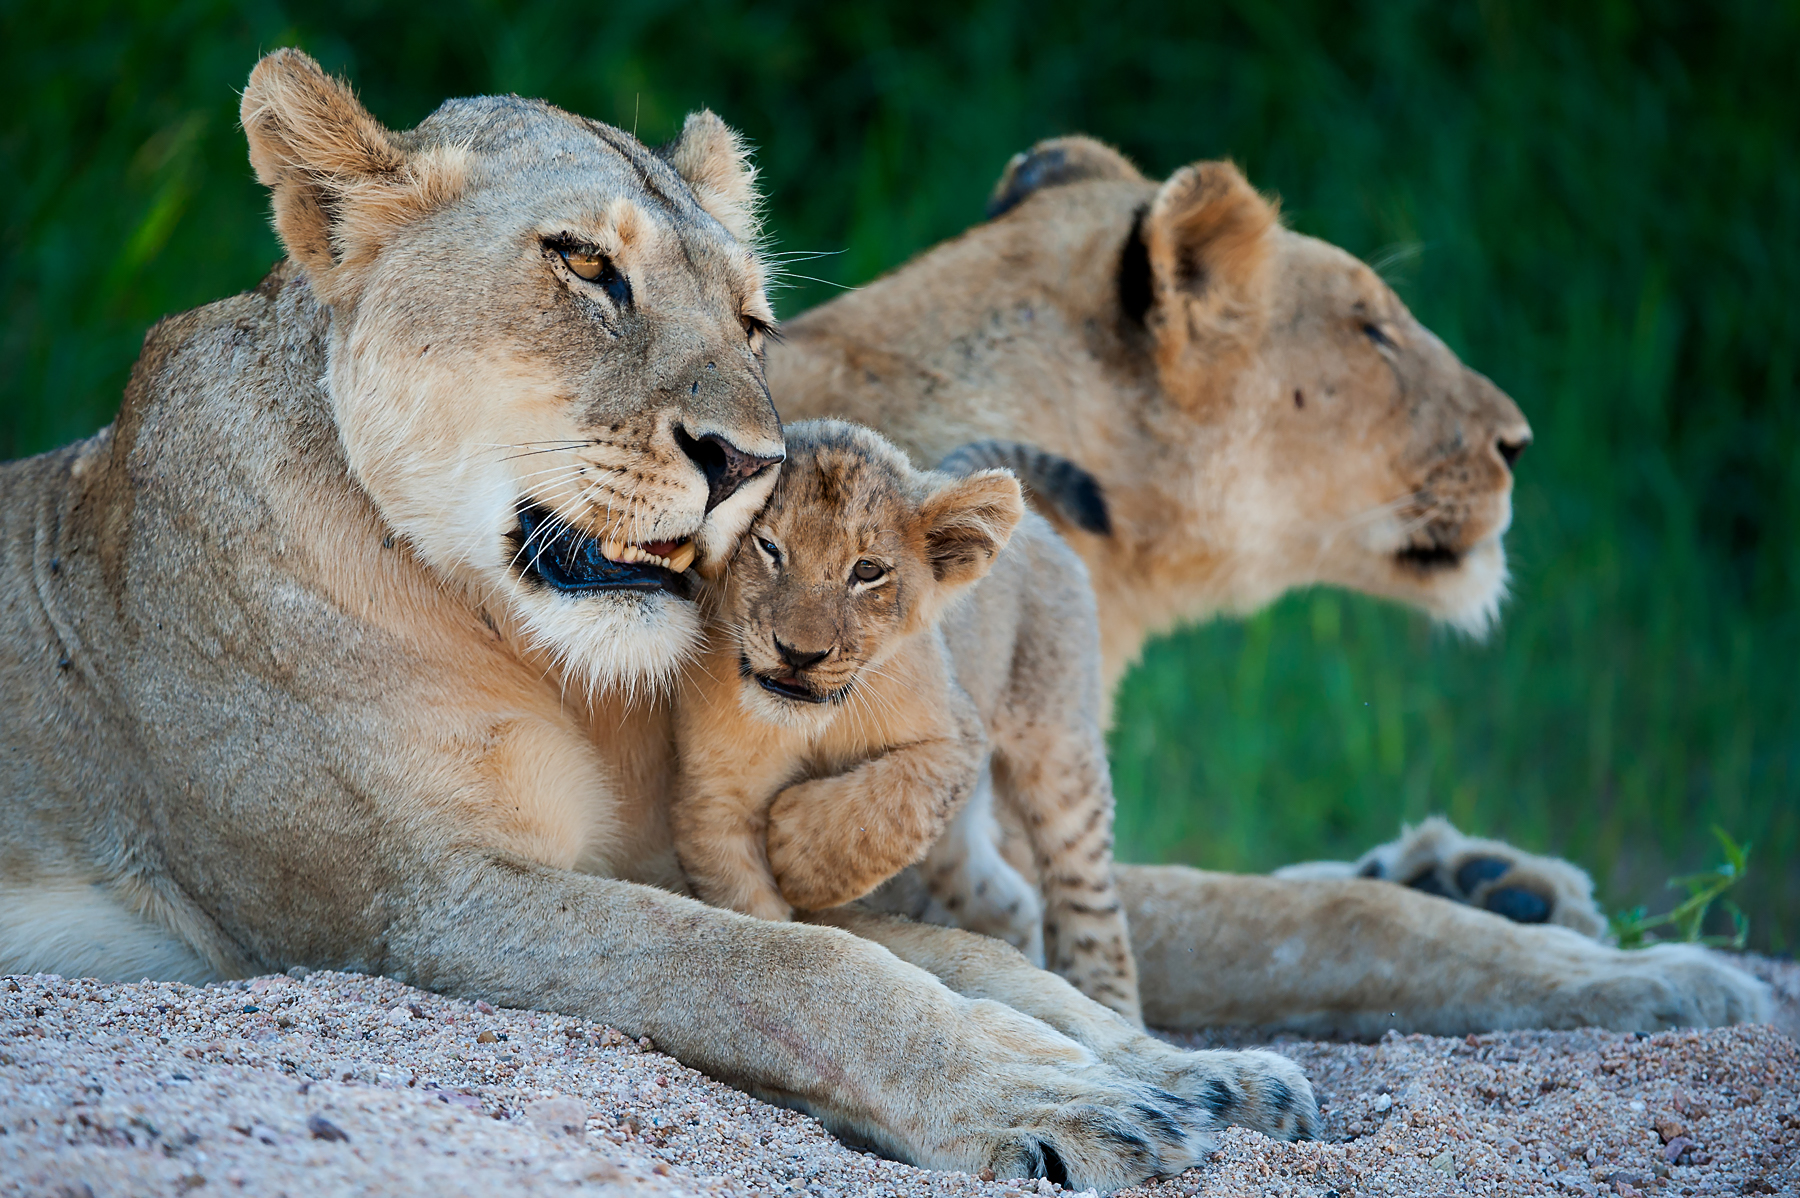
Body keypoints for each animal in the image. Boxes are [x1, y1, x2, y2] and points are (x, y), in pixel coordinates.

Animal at [673, 421, 1141, 1022]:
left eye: (867, 571)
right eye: (769, 547)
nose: (799, 654)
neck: (814, 720)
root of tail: (1037, 524)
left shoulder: (957, 736)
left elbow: (891, 805)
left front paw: (796, 850)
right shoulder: (715, 800)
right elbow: (750, 909)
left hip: (1059, 751)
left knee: (1090, 904)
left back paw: (1112, 1010)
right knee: (1008, 897)